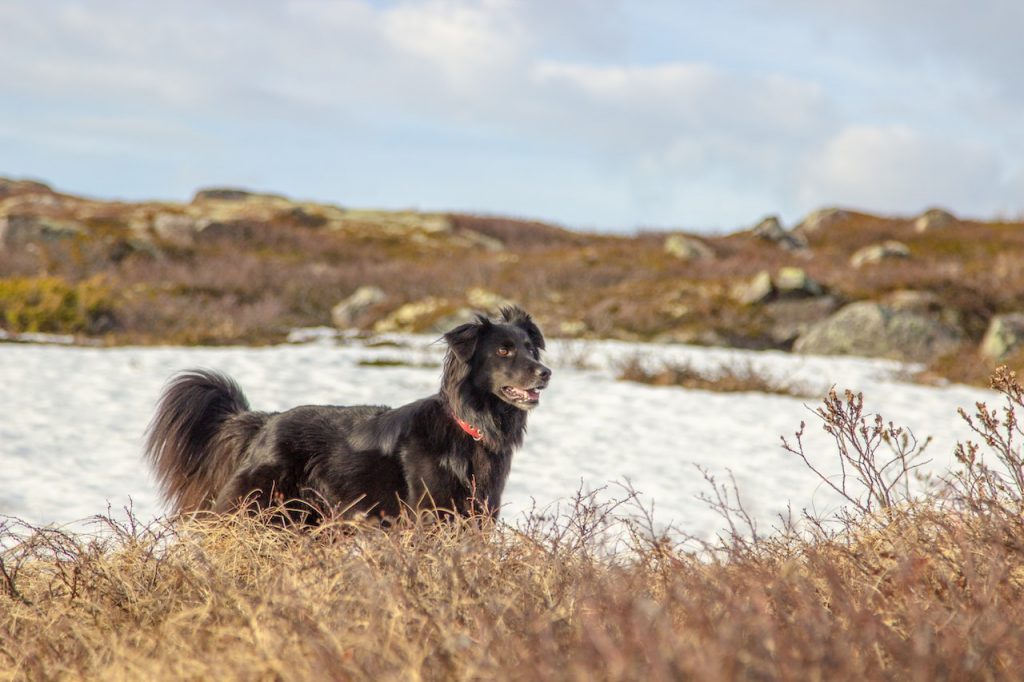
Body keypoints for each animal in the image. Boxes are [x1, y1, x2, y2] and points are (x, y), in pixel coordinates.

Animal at [144, 305, 552, 522]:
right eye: (503, 351)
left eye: (531, 349)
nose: (545, 372)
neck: (471, 427)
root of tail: (265, 421)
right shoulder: (429, 516)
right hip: (259, 507)